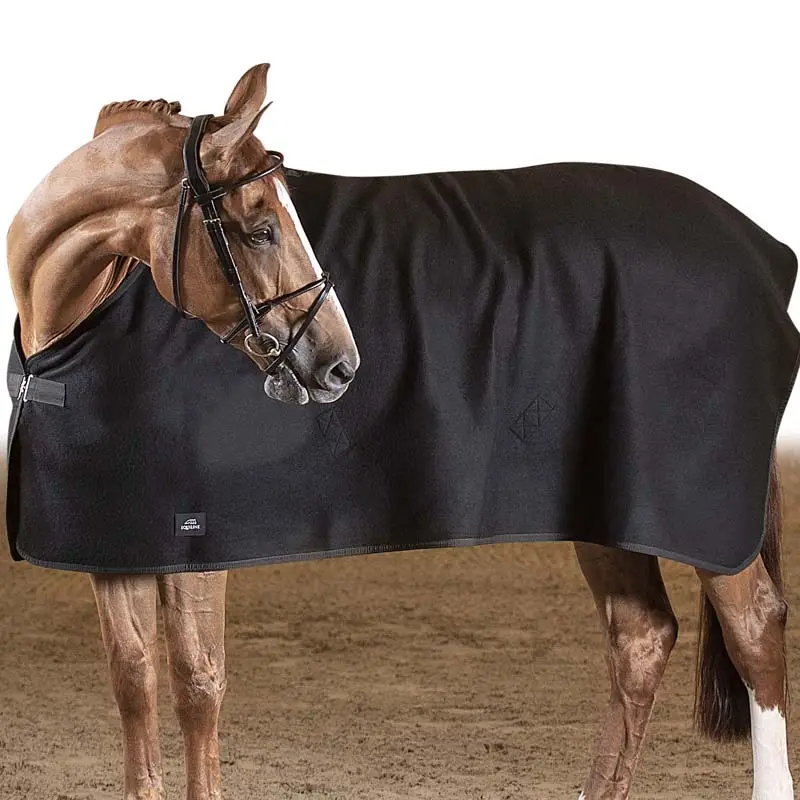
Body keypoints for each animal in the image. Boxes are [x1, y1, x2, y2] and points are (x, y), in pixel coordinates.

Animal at [5, 64, 794, 800]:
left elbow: (198, 685)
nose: (339, 363)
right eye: (260, 229)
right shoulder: (117, 545)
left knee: (755, 627)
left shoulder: (194, 541)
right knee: (640, 637)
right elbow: (133, 682)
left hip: (697, 512)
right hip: (604, 508)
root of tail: (764, 252)